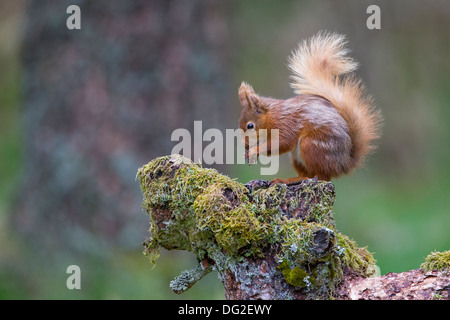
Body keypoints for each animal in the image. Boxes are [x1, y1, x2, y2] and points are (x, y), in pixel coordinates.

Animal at [237, 31, 382, 185]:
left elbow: (281, 143)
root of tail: (344, 164)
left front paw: (254, 151)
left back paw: (308, 178)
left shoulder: (285, 124)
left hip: (311, 146)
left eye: (250, 125)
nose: (245, 145)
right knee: (305, 174)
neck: (271, 115)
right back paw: (288, 179)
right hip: (296, 157)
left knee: (323, 176)